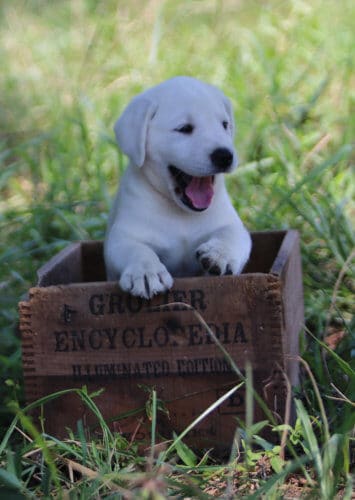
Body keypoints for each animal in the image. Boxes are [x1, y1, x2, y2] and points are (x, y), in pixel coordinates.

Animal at [104, 76, 252, 298]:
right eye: (184, 129)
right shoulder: (123, 237)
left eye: (225, 125)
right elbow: (137, 250)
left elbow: (231, 233)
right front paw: (146, 272)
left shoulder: (233, 226)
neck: (181, 214)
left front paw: (220, 254)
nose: (225, 156)